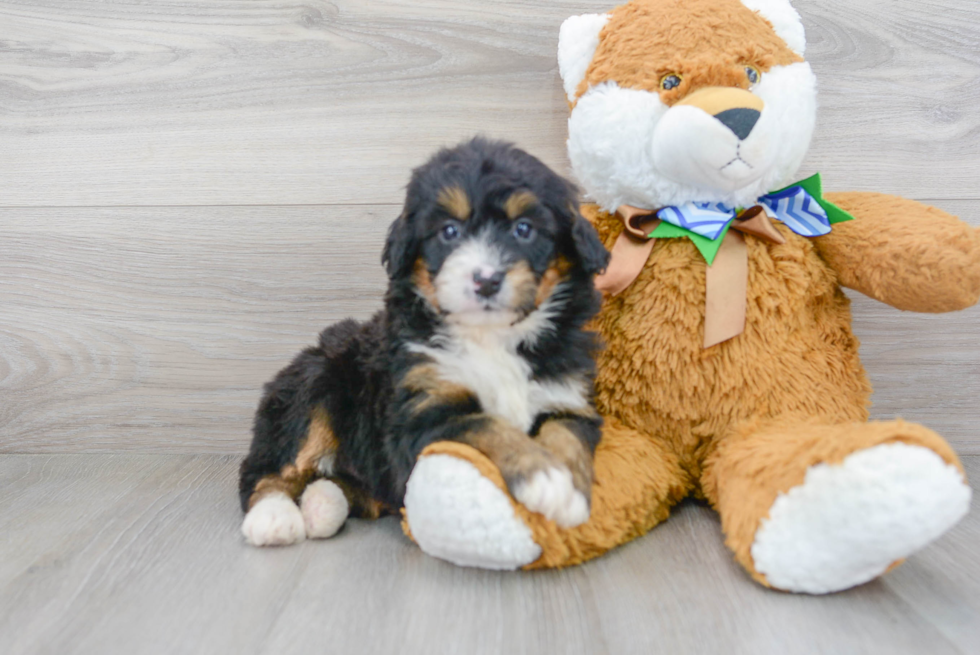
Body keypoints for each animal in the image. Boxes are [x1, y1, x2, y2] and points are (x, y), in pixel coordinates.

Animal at [238, 138, 608, 548]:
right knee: (266, 471)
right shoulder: (420, 417)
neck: (491, 336)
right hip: (313, 384)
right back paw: (273, 518)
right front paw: (546, 480)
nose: (486, 280)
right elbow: (487, 425)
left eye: (523, 229)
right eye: (449, 232)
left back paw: (322, 504)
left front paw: (570, 492)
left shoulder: (567, 397)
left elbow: (567, 435)